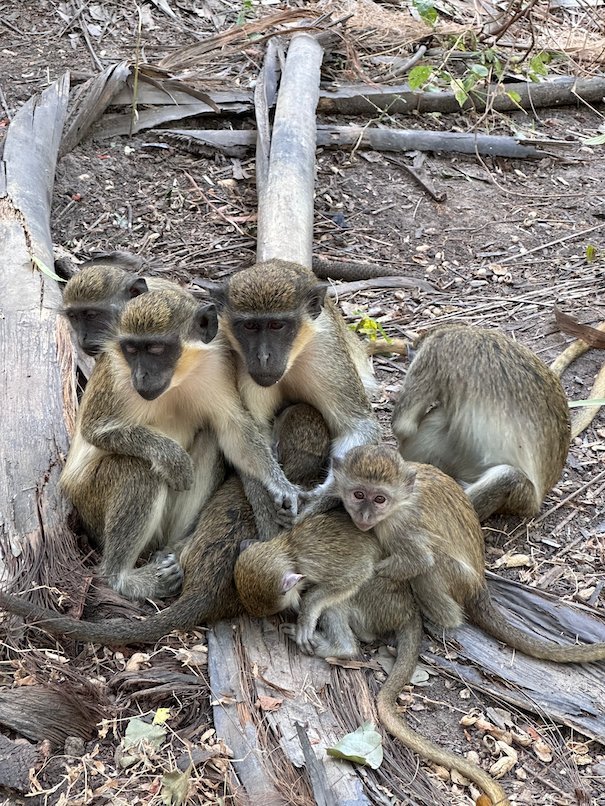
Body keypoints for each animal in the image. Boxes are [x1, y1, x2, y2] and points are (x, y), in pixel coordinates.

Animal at [59, 288, 301, 600]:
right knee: (138, 469)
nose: (141, 376)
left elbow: (233, 431)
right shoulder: (114, 371)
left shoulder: (217, 364)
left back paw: (175, 549)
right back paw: (122, 578)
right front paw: (171, 456)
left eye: (155, 349)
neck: (178, 378)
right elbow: (94, 430)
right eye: (131, 350)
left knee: (210, 438)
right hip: (87, 500)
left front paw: (279, 486)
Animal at [204, 259, 382, 537]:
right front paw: (270, 523)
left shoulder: (326, 351)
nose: (263, 357)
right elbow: (249, 437)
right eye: (250, 326)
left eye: (277, 326)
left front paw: (317, 501)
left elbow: (358, 426)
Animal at [333, 444, 605, 663]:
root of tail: (479, 585)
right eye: (359, 494)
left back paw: (441, 618)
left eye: (380, 499)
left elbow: (419, 561)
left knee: (432, 567)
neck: (400, 501)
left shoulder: (401, 525)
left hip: (459, 578)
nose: (365, 515)